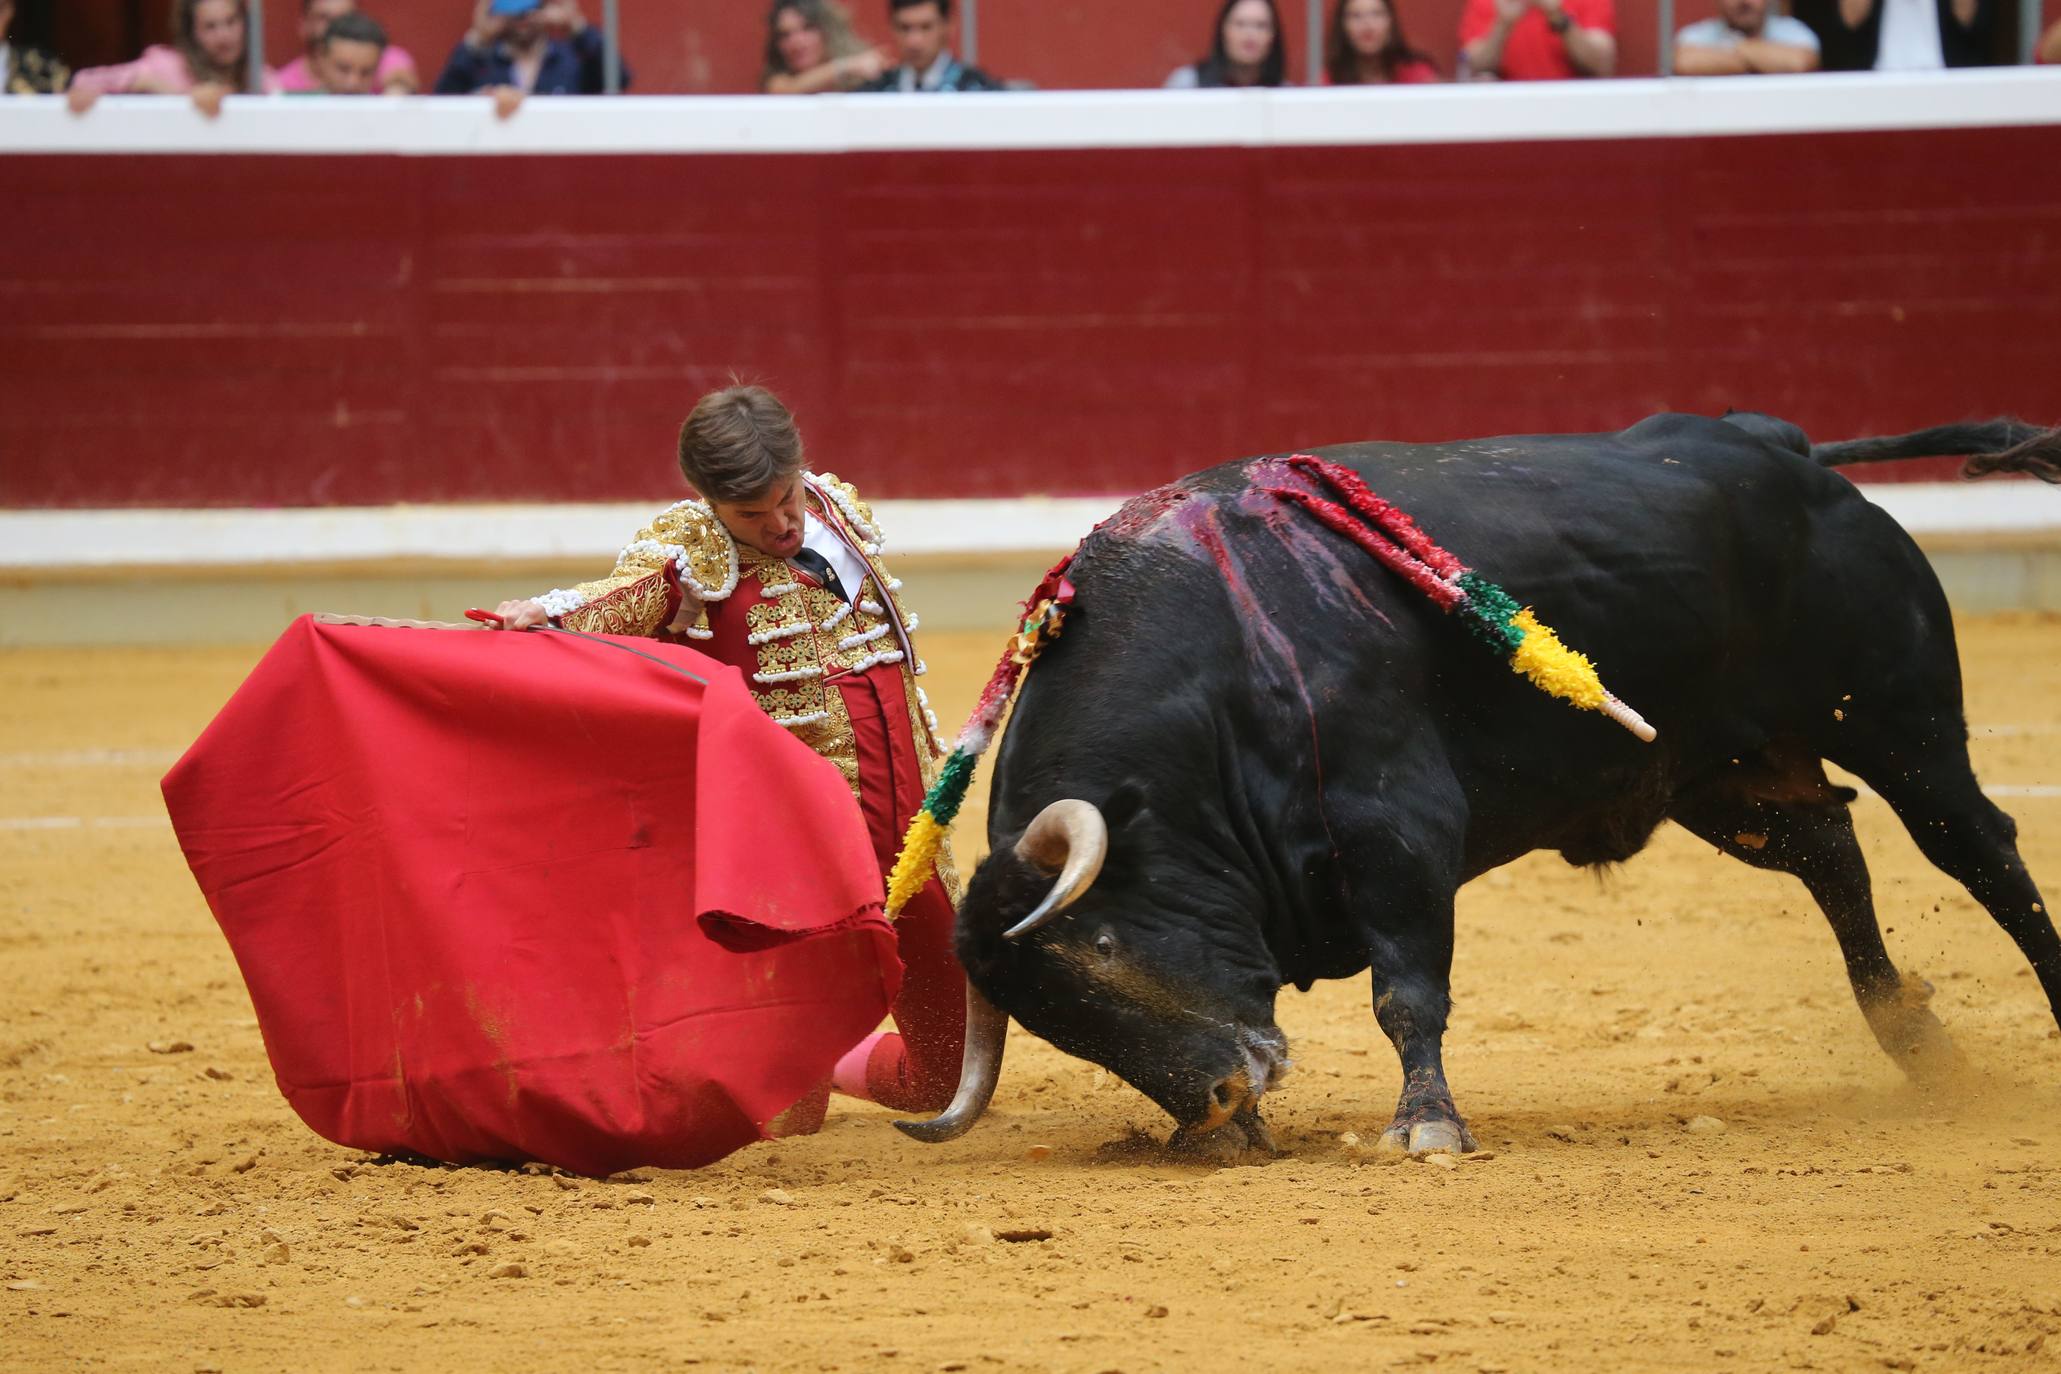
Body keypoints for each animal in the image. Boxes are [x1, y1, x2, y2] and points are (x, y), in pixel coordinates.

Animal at [898, 411, 2061, 1161]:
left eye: (1097, 945)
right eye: (1047, 1019)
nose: (1219, 1101)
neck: (1222, 660)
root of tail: (1793, 453)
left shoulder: (1396, 824)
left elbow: (1407, 987)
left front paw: (1426, 1126)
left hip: (1900, 723)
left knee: (1979, 851)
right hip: (1727, 776)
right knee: (1828, 853)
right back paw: (1915, 1042)